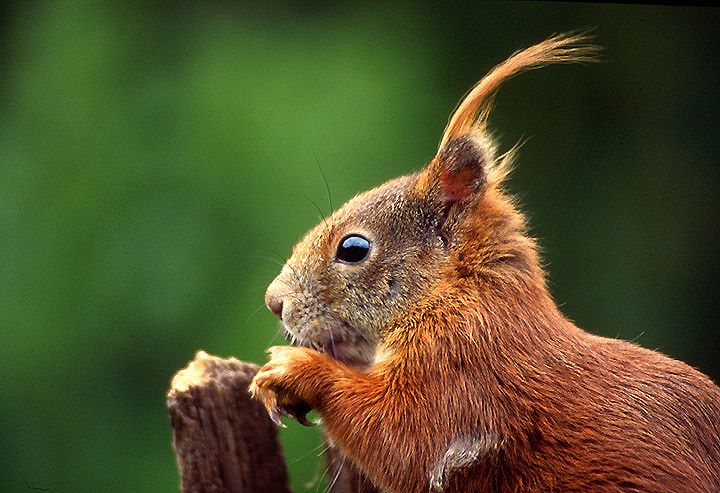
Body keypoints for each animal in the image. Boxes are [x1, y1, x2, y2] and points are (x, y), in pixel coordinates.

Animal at [248, 32, 720, 490]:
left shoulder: (462, 373)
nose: (274, 302)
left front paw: (291, 370)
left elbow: (401, 439)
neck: (460, 293)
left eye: (353, 249)